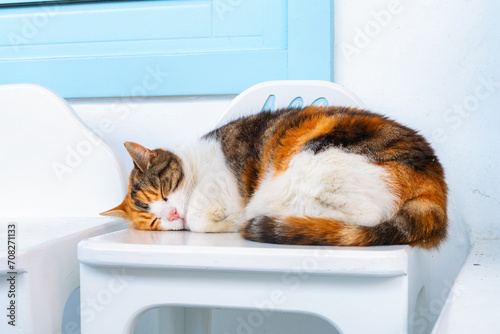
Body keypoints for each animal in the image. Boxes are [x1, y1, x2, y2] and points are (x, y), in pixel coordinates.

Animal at [101, 105, 450, 249]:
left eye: (161, 192)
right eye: (153, 221)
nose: (172, 214)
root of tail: (434, 175)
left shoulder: (222, 184)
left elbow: (202, 216)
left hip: (315, 163)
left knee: (363, 215)